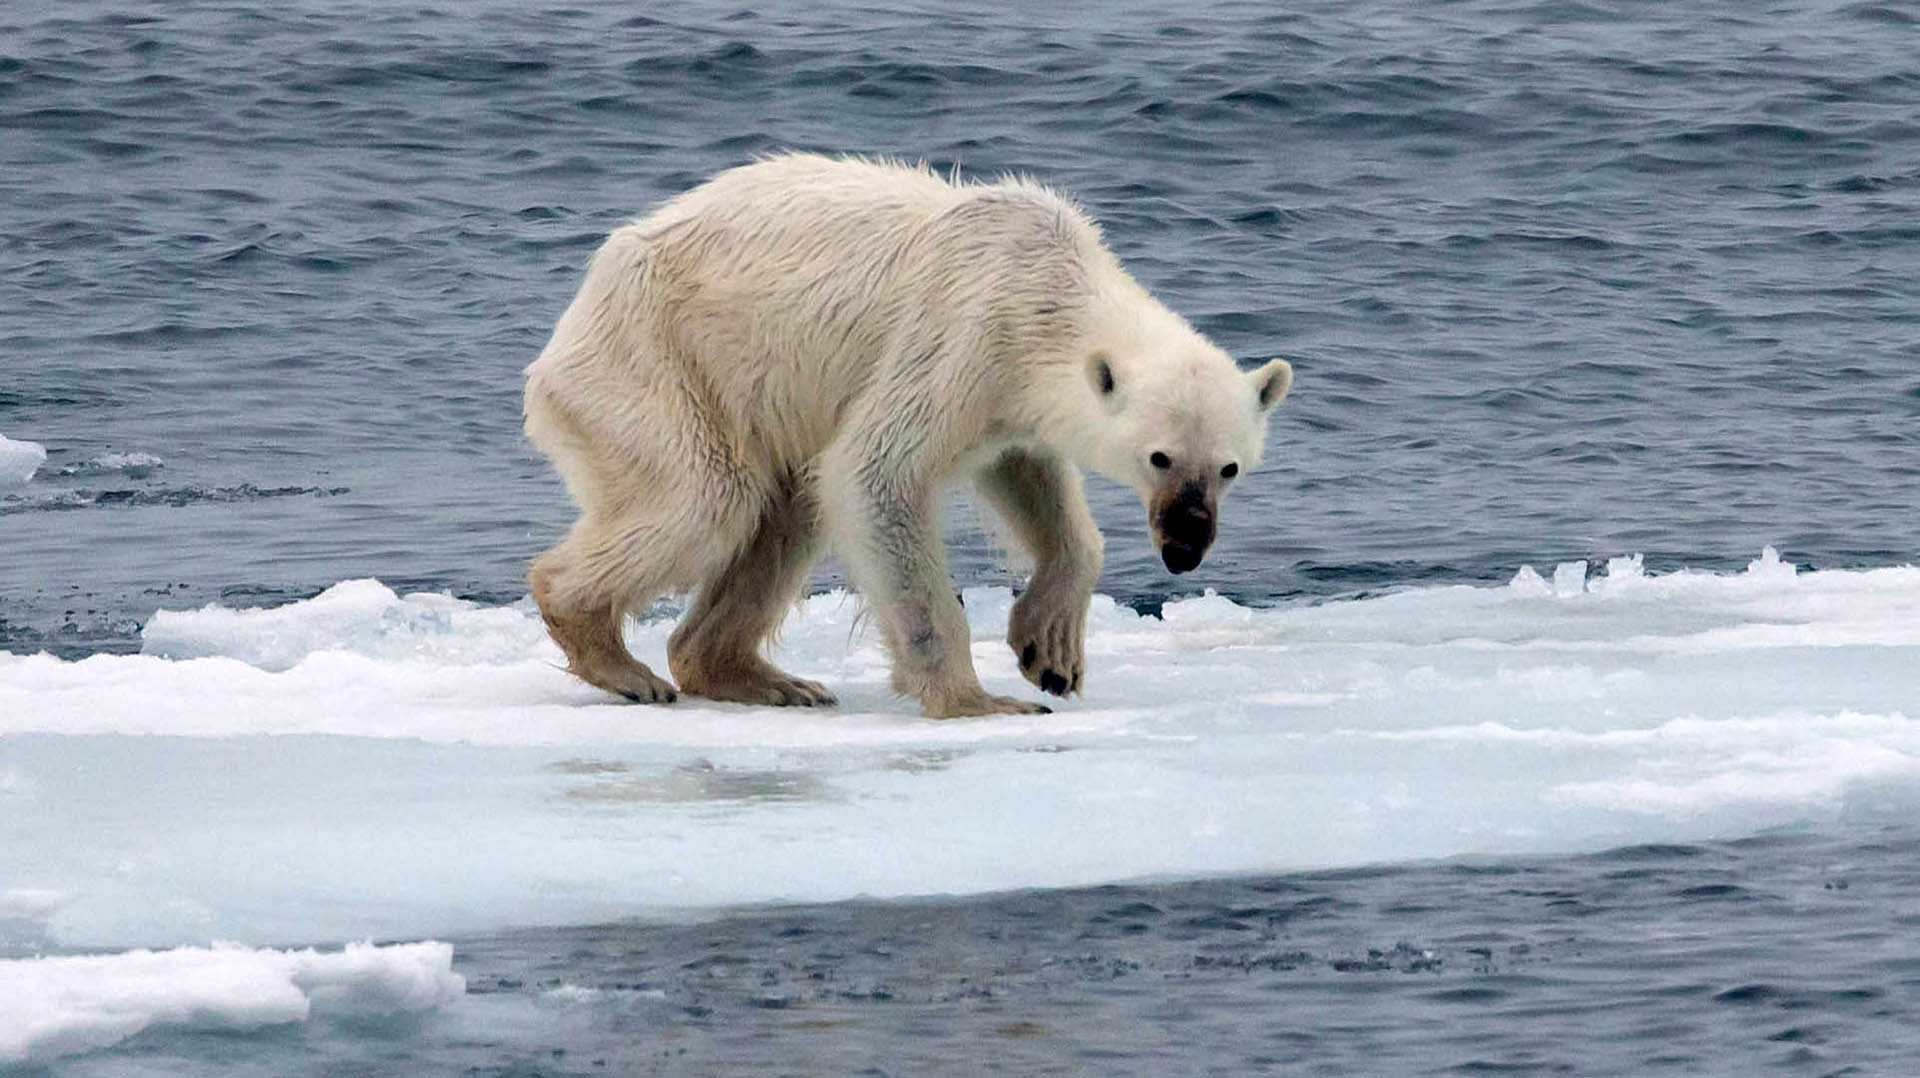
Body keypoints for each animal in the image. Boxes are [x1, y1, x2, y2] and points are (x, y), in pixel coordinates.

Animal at [524, 154, 1292, 718]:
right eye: (1158, 456)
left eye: (1228, 468)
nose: (1185, 546)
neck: (1047, 287)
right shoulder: (961, 334)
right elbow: (875, 472)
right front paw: (979, 700)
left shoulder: (1007, 398)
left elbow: (1029, 477)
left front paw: (1050, 651)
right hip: (657, 364)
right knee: (708, 498)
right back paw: (619, 659)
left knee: (785, 510)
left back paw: (764, 679)